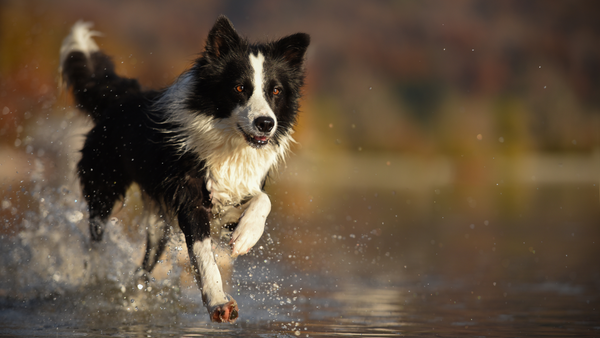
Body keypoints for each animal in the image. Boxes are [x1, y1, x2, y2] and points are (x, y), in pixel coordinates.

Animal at [59, 15, 312, 322]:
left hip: (158, 223)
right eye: (239, 88)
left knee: (145, 266)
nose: (266, 123)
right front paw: (218, 302)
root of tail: (121, 96)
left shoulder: (229, 200)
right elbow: (203, 255)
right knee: (95, 239)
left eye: (275, 91)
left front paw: (245, 236)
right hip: (103, 188)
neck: (228, 143)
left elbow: (264, 200)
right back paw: (95, 281)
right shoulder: (190, 200)